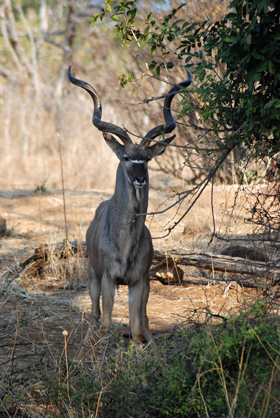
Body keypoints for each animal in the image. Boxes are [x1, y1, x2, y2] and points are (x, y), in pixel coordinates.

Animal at [68, 67, 191, 354]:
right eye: (126, 157)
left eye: (146, 159)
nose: (139, 178)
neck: (127, 242)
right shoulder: (108, 278)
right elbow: (105, 323)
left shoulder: (139, 281)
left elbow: (135, 329)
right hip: (92, 275)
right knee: (95, 316)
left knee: (143, 320)